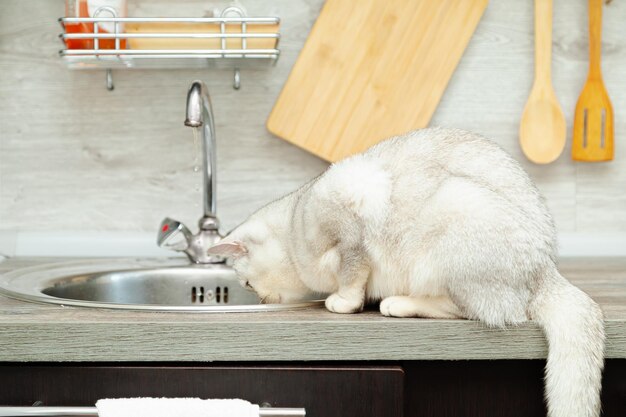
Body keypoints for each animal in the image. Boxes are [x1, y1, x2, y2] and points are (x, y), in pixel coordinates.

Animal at [208, 127, 604, 416]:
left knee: (474, 310)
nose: (258, 299)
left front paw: (343, 301)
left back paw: (398, 303)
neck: (295, 220)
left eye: (246, 282)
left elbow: (352, 271)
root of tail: (546, 268)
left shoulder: (350, 210)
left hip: (453, 214)